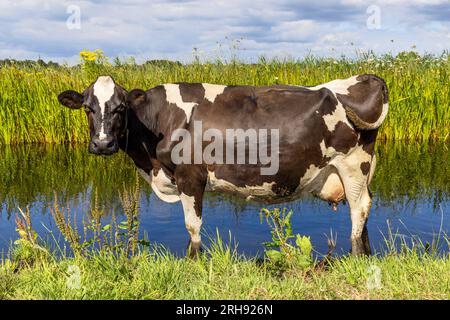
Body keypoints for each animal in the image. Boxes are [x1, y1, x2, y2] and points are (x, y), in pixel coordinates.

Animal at [58, 74, 388, 256]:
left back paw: (356, 252)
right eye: (87, 108)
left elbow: (193, 227)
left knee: (358, 209)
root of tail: (358, 79)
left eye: (121, 107)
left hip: (352, 164)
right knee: (364, 208)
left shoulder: (190, 176)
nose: (102, 144)